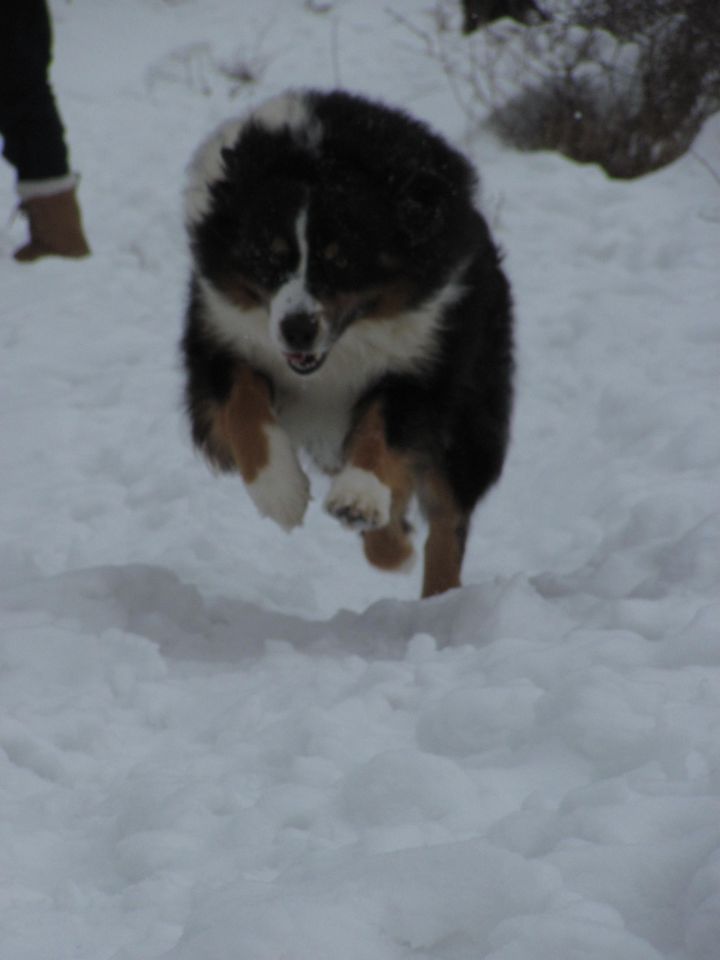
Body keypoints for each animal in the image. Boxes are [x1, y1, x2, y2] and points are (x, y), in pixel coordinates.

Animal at [183, 92, 516, 600]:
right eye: (267, 257)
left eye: (341, 260)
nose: (297, 330)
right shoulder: (216, 335)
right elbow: (242, 404)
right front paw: (280, 493)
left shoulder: (426, 358)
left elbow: (385, 431)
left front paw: (359, 497)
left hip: (475, 412)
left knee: (449, 515)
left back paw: (433, 591)